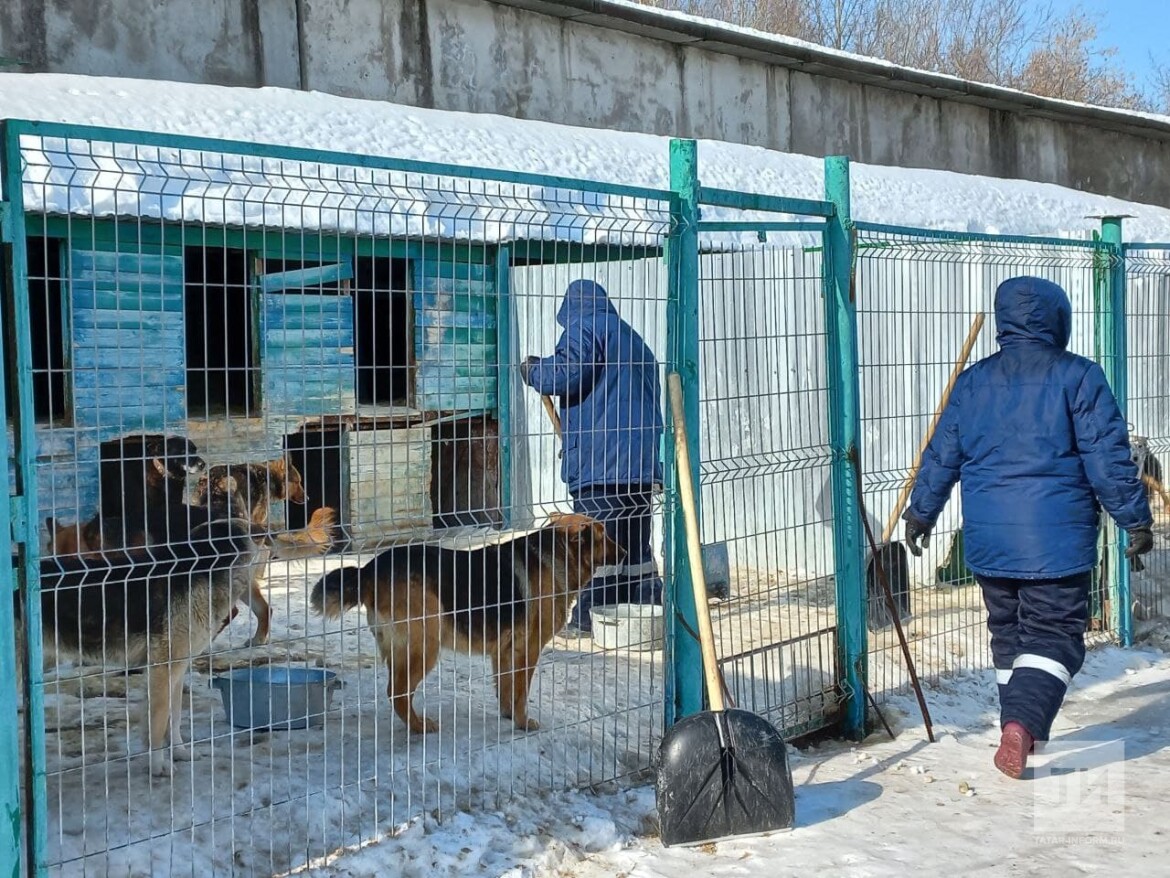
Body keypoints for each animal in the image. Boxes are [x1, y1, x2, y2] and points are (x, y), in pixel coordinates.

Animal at [308, 515, 622, 735]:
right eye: (604, 535)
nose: (626, 552)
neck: (556, 554)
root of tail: (369, 568)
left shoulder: (504, 651)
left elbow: (506, 689)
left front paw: (508, 715)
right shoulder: (528, 650)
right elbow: (521, 691)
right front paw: (522, 722)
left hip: (401, 649)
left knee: (396, 690)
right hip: (425, 645)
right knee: (397, 692)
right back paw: (419, 726)